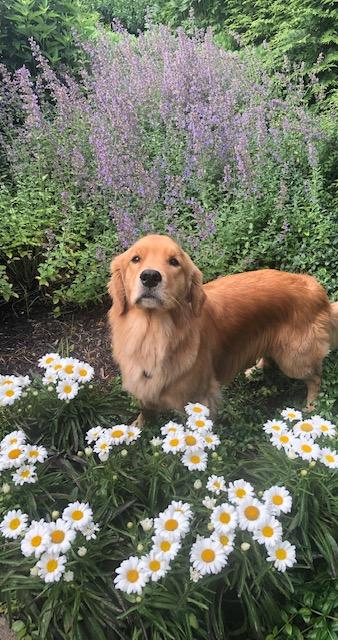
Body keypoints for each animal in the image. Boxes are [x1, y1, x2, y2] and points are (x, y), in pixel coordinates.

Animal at [107, 232, 338, 422]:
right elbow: (145, 409)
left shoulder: (200, 398)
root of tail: (316, 288)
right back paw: (255, 369)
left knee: (315, 378)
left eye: (174, 262)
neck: (152, 333)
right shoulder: (143, 385)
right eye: (135, 259)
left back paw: (311, 407)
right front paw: (137, 429)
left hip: (294, 359)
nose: (150, 276)